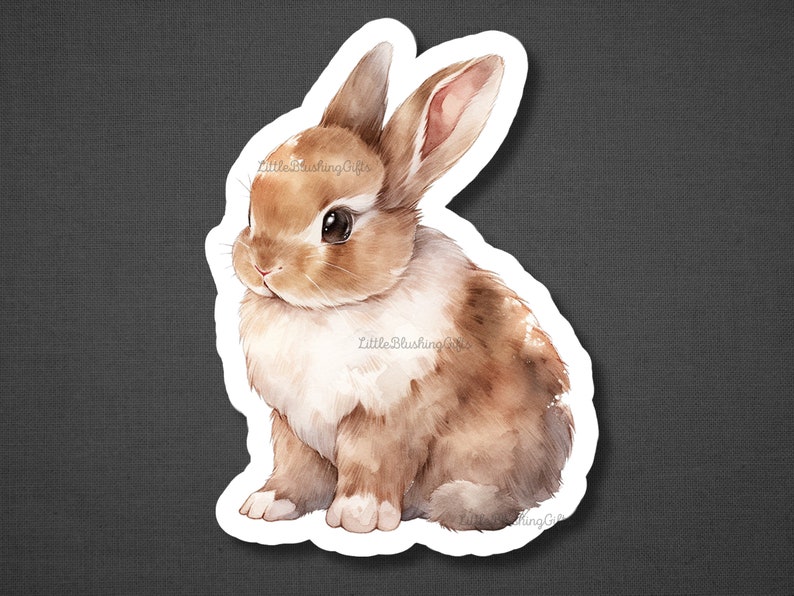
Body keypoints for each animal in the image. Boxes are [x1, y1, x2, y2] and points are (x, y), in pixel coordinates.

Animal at [232, 42, 573, 533]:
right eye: (249, 213)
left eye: (336, 225)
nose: (262, 267)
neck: (329, 309)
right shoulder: (292, 423)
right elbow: (295, 468)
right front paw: (266, 504)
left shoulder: (390, 418)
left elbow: (372, 463)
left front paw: (359, 516)